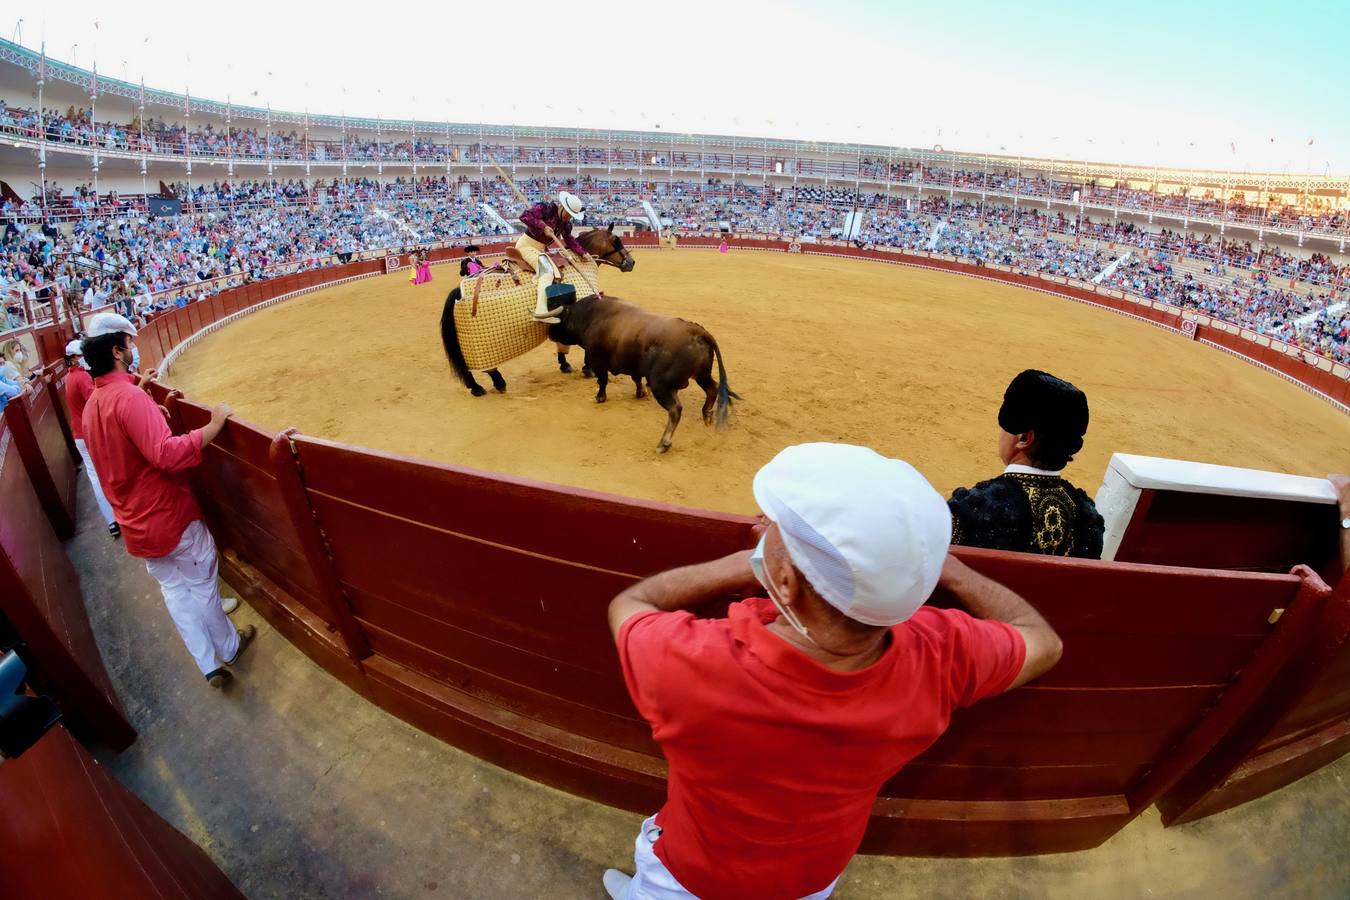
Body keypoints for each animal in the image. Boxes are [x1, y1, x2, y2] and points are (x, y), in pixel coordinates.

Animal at [440, 223, 634, 396]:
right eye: (616, 240)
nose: (631, 262)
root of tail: (458, 291)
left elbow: (561, 343)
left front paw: (565, 365)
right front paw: (588, 369)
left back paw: (477, 387)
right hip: (482, 345)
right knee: (483, 367)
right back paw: (493, 384)